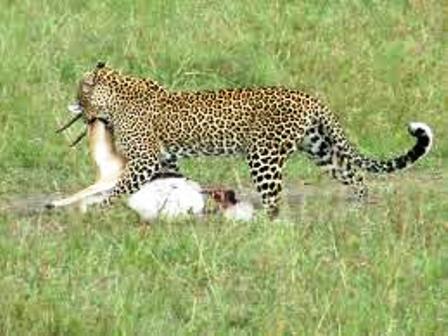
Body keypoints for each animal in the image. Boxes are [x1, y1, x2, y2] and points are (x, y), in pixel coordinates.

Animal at [59, 62, 430, 218]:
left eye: (79, 91)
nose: (75, 105)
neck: (117, 94)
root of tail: (310, 98)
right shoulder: (165, 160)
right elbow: (176, 180)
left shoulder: (145, 160)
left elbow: (119, 187)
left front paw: (100, 207)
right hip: (319, 148)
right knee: (355, 175)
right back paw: (358, 210)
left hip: (264, 157)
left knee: (275, 202)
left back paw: (263, 225)